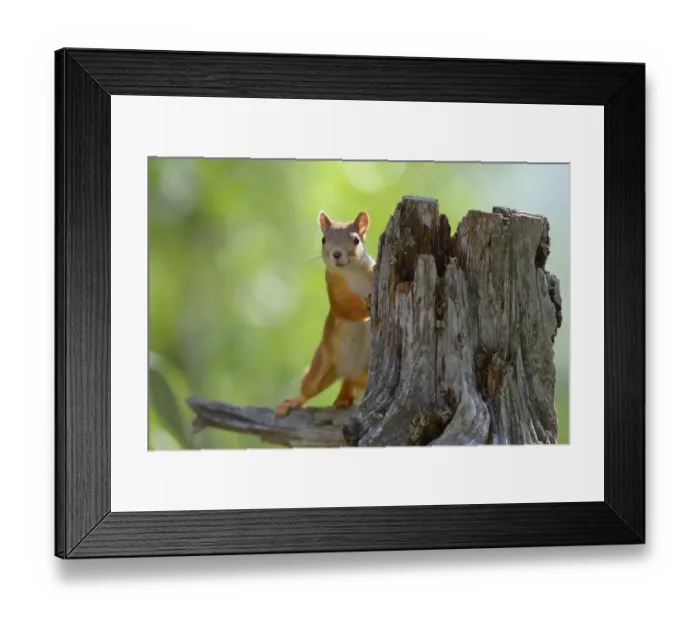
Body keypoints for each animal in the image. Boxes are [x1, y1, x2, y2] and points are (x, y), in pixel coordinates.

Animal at [275, 210, 375, 417]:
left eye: (356, 240)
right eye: (323, 239)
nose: (336, 254)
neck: (352, 271)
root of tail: (349, 372)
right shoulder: (334, 289)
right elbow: (344, 307)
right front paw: (366, 305)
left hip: (364, 371)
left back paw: (345, 398)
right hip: (322, 364)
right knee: (309, 389)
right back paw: (292, 402)